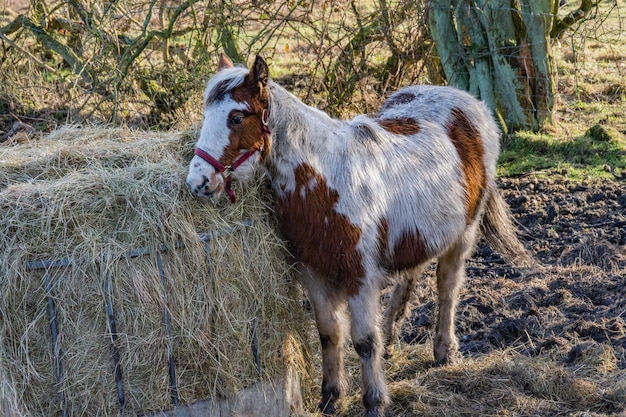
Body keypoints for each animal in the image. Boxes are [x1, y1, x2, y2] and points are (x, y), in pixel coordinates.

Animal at [186, 54, 532, 416]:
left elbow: (365, 342)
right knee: (410, 275)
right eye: (207, 115)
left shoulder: (360, 279)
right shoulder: (314, 275)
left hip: (463, 234)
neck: (325, 180)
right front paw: (331, 397)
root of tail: (470, 103)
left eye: (236, 117)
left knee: (447, 288)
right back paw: (392, 338)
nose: (197, 182)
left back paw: (444, 350)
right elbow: (329, 335)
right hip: (419, 232)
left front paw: (374, 401)